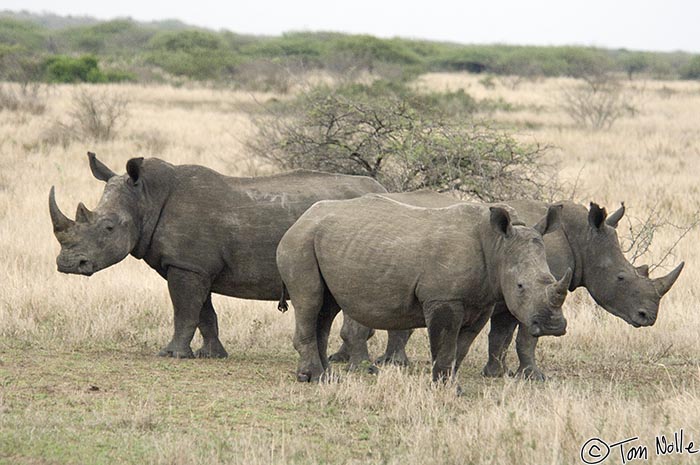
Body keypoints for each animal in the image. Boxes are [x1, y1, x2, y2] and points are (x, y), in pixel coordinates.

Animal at [49, 150, 388, 358]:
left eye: (108, 227)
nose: (67, 265)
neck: (145, 197)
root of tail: (383, 189)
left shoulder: (186, 265)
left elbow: (184, 310)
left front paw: (172, 354)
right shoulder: (194, 266)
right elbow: (203, 313)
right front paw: (210, 355)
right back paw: (342, 358)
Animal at [276, 192, 572, 388]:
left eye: (551, 278)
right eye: (520, 286)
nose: (553, 327)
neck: (497, 245)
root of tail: (300, 219)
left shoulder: (482, 302)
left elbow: (460, 347)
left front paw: (451, 385)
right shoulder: (443, 299)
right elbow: (445, 343)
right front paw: (444, 388)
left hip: (319, 240)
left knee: (326, 309)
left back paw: (324, 376)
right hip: (299, 243)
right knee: (311, 302)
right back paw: (317, 378)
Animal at [330, 190, 688, 378]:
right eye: (622, 278)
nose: (648, 317)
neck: (583, 239)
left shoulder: (512, 296)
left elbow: (500, 336)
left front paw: (495, 373)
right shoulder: (535, 294)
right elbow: (527, 338)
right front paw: (533, 377)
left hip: (372, 247)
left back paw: (362, 361)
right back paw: (365, 367)